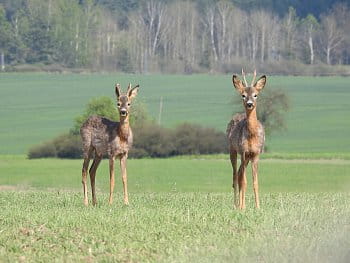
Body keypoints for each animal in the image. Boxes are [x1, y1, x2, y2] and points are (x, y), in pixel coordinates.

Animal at [226, 70, 266, 210]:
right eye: (243, 95)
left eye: (255, 95)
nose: (249, 104)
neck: (252, 136)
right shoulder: (243, 151)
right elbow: (244, 181)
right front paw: (243, 207)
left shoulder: (256, 153)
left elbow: (255, 182)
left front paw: (258, 207)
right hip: (232, 150)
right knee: (235, 176)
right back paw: (236, 205)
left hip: (247, 157)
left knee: (238, 174)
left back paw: (239, 204)